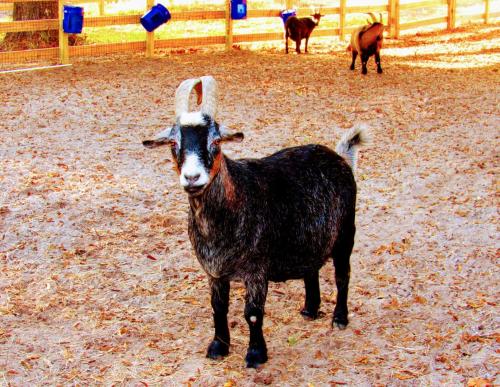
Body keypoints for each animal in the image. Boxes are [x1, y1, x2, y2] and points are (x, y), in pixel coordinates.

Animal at [143, 76, 370, 370]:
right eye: (173, 144)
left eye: (216, 141)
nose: (192, 178)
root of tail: (341, 158)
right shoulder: (214, 272)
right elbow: (218, 308)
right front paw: (218, 347)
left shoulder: (257, 270)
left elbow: (252, 313)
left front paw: (255, 354)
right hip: (310, 236)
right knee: (311, 269)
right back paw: (310, 309)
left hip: (345, 233)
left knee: (343, 275)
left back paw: (340, 318)